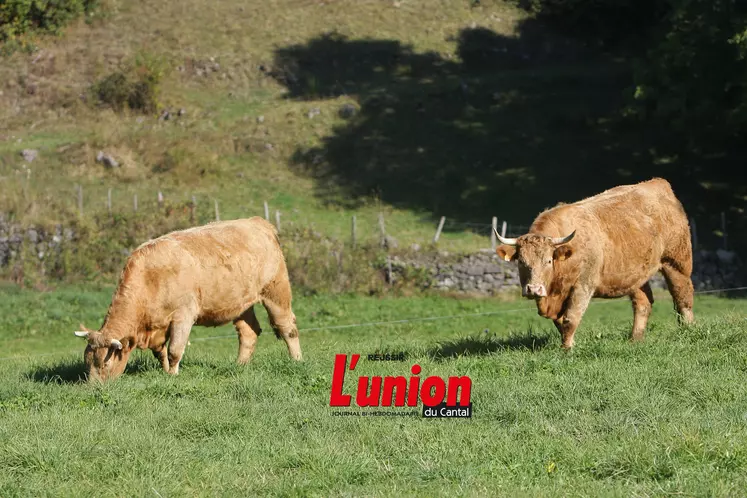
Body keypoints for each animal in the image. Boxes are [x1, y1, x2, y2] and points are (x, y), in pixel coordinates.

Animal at [72, 216, 300, 384]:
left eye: (104, 364)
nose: (92, 388)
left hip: (276, 291)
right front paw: (165, 372)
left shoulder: (183, 316)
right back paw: (239, 365)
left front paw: (173, 375)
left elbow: (174, 350)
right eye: (87, 362)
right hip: (241, 304)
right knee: (249, 332)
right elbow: (161, 352)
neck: (150, 277)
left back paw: (297, 360)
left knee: (287, 327)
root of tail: (258, 222)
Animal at [496, 177, 696, 348]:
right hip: (637, 275)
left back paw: (688, 329)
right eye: (521, 262)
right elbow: (560, 322)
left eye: (548, 260)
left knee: (683, 297)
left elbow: (571, 318)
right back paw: (635, 339)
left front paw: (567, 349)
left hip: (676, 263)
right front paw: (569, 343)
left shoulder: (583, 285)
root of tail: (658, 183)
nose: (534, 289)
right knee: (643, 303)